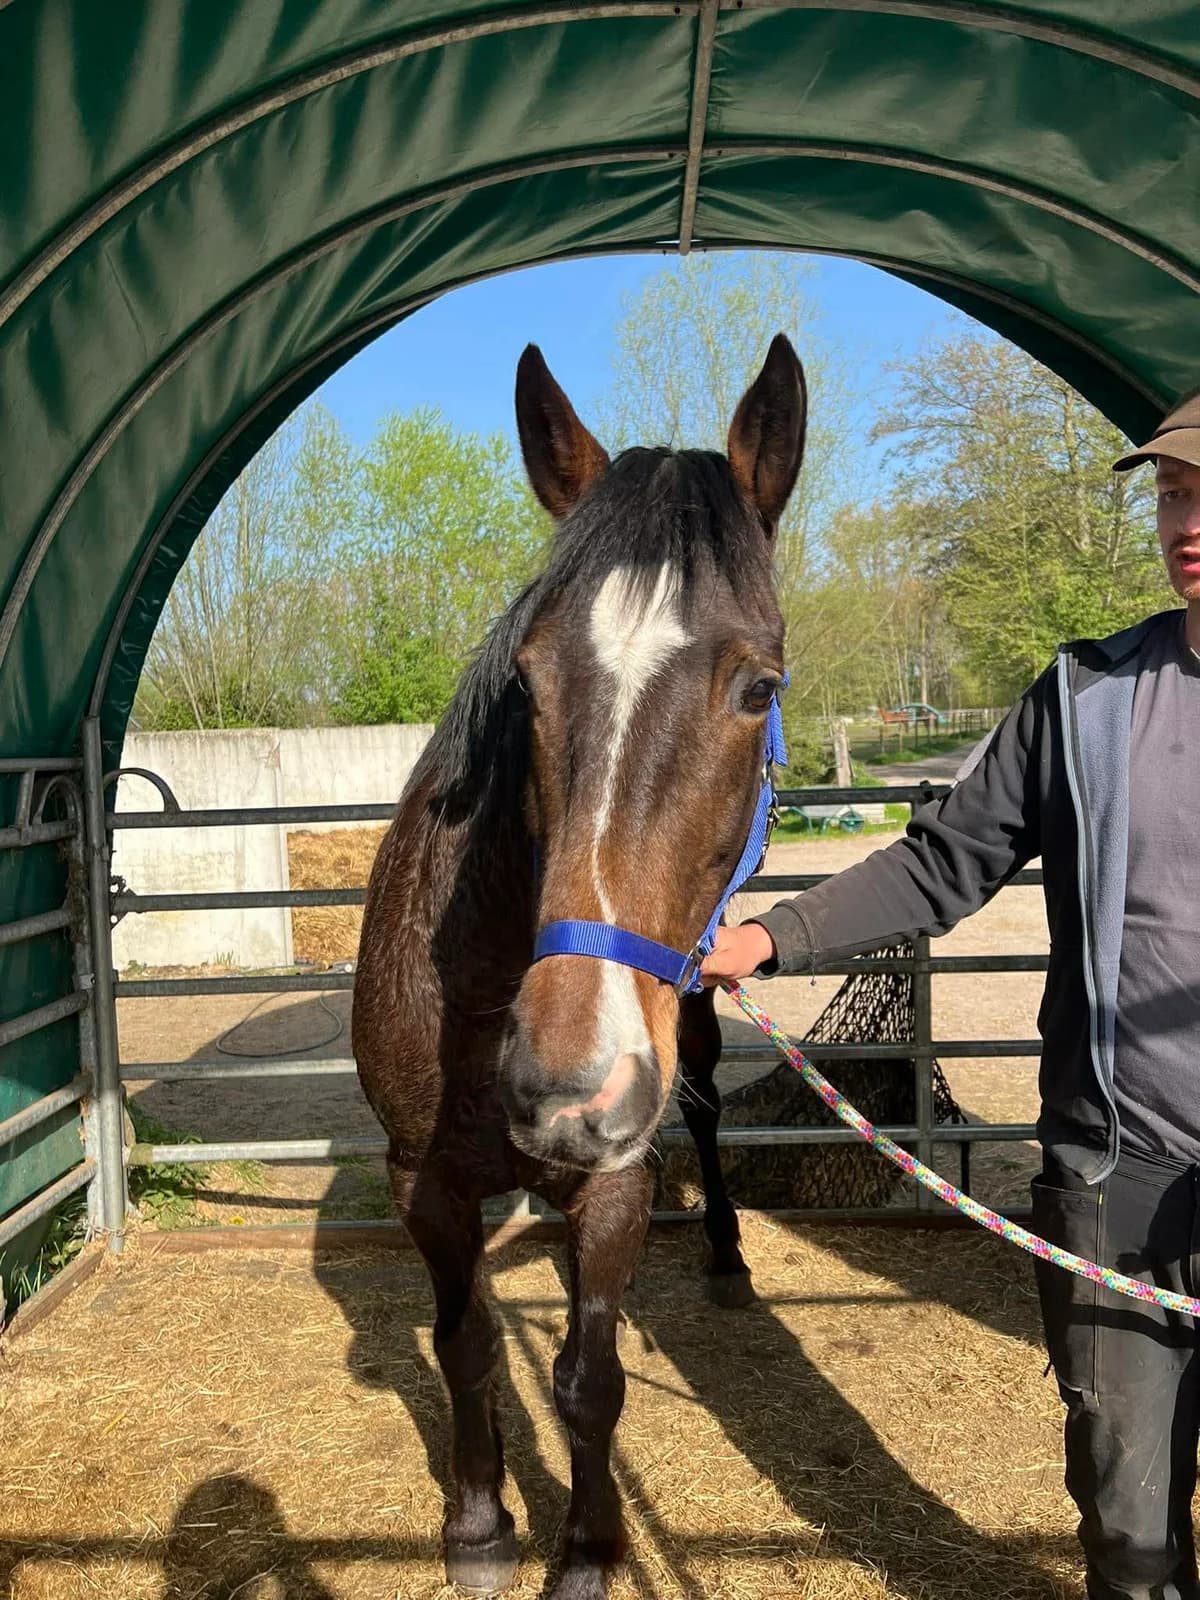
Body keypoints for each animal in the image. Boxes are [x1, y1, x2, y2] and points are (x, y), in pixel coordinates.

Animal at [352, 333, 807, 1599]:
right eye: (528, 681)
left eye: (760, 686)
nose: (566, 1091)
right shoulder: (422, 1182)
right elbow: (463, 1344)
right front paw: (478, 1525)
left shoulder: (616, 1180)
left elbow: (589, 1380)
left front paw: (592, 1550)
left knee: (703, 1114)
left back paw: (728, 1258)